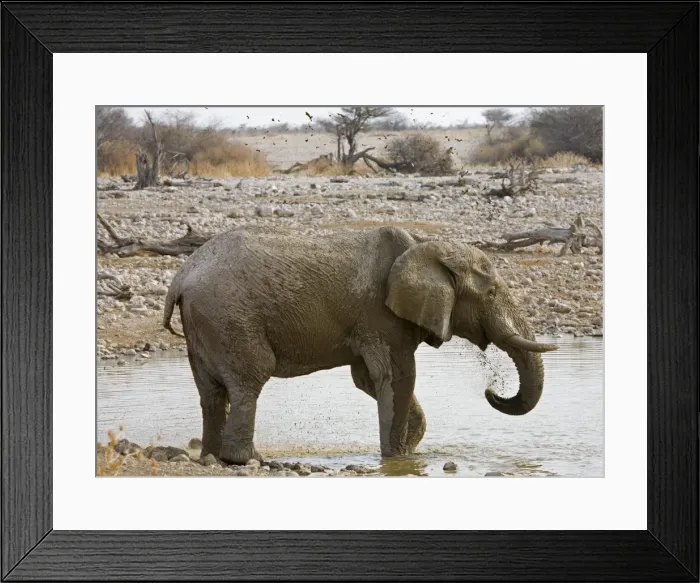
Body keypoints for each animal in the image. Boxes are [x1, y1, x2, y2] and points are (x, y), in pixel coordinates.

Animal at [163, 225, 557, 465]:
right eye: (490, 293)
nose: (491, 390)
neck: (423, 247)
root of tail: (181, 277)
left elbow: (368, 380)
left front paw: (407, 454)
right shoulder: (382, 317)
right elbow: (398, 378)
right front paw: (396, 459)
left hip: (206, 323)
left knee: (212, 393)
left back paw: (212, 457)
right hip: (230, 316)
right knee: (249, 380)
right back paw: (248, 460)